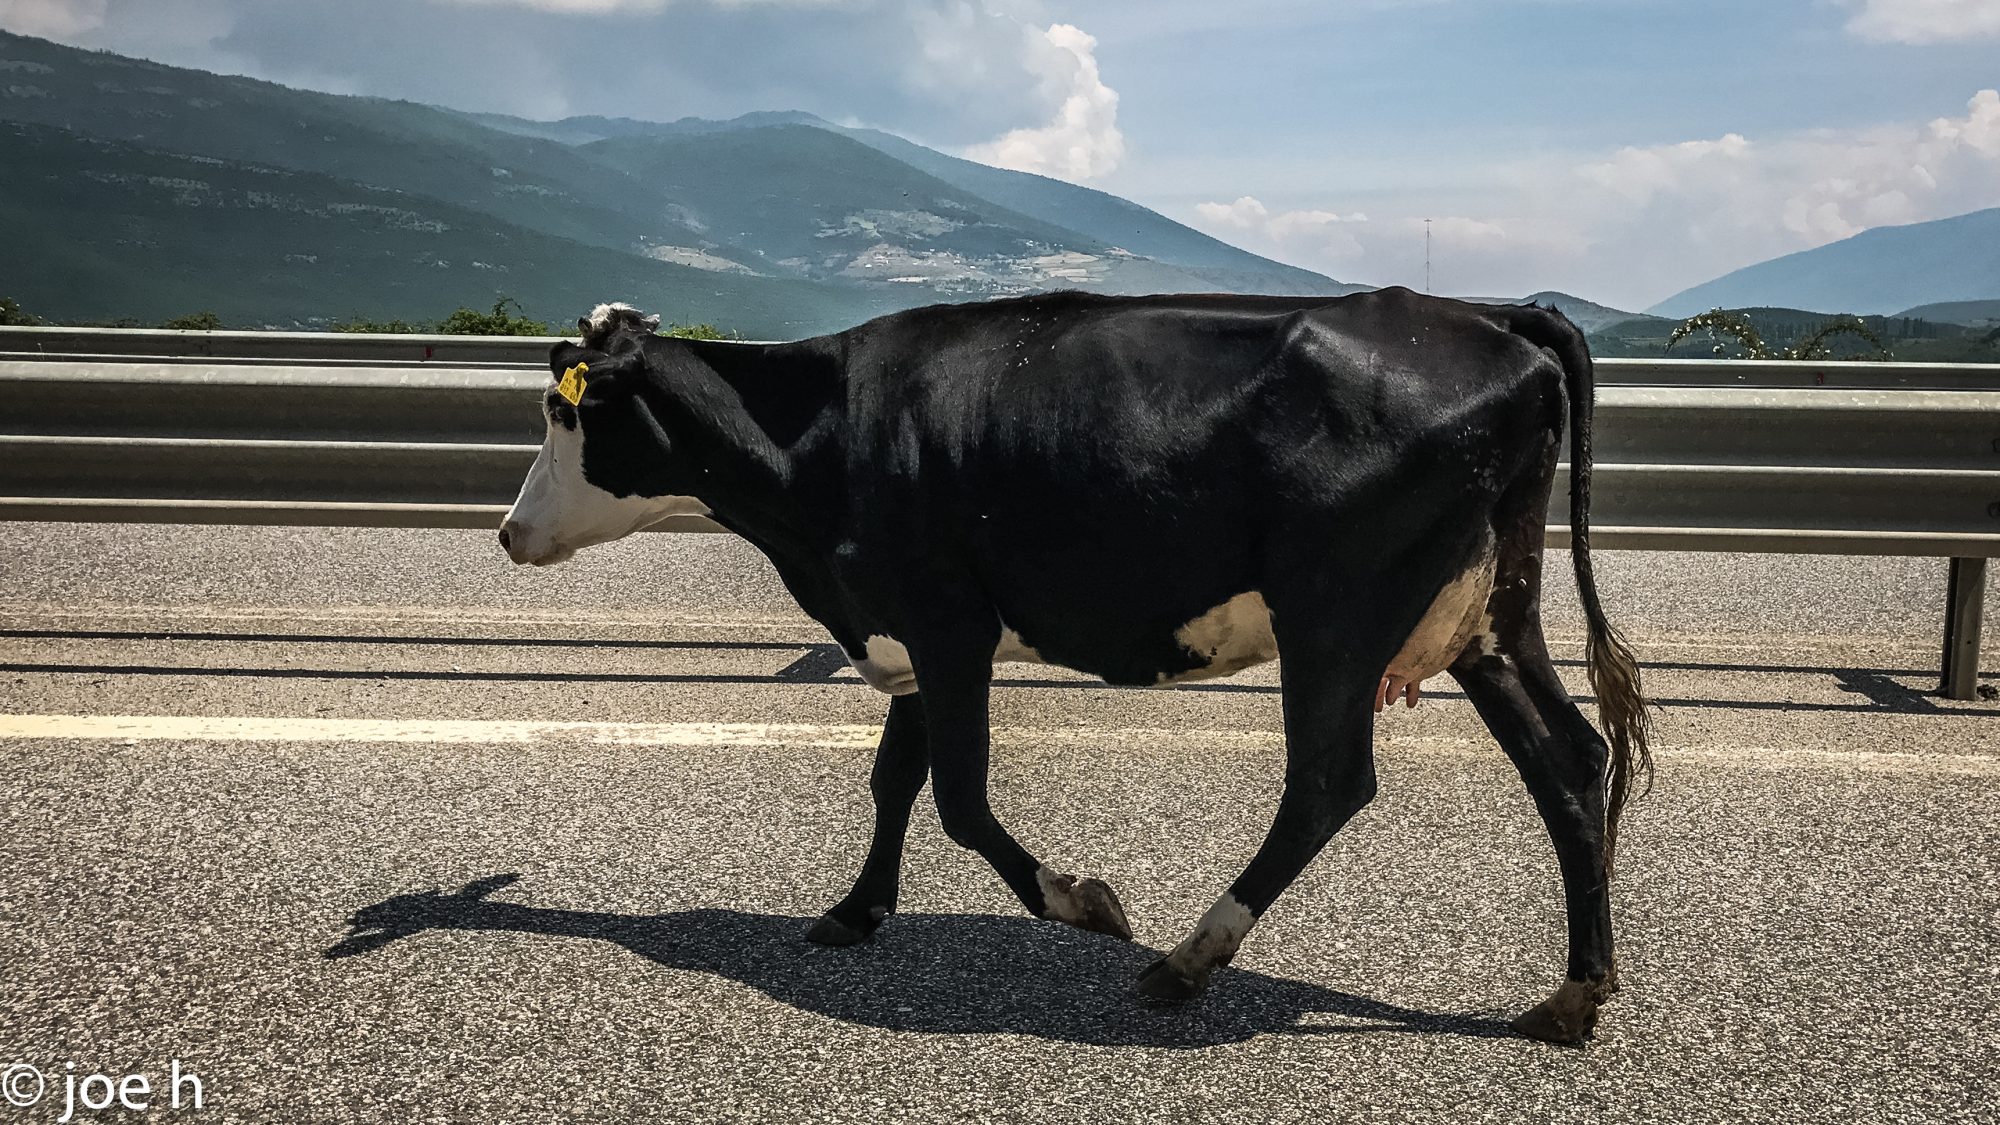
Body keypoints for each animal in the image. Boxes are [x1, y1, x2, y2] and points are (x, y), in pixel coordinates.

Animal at [504, 286, 1656, 1040]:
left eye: (565, 410)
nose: (510, 533)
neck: (822, 440)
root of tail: (1495, 315)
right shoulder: (909, 629)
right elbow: (893, 780)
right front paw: (856, 909)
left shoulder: (947, 621)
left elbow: (960, 798)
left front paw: (1079, 900)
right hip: (1486, 613)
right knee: (1567, 759)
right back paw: (1573, 994)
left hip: (1336, 609)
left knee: (1329, 781)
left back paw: (1186, 961)